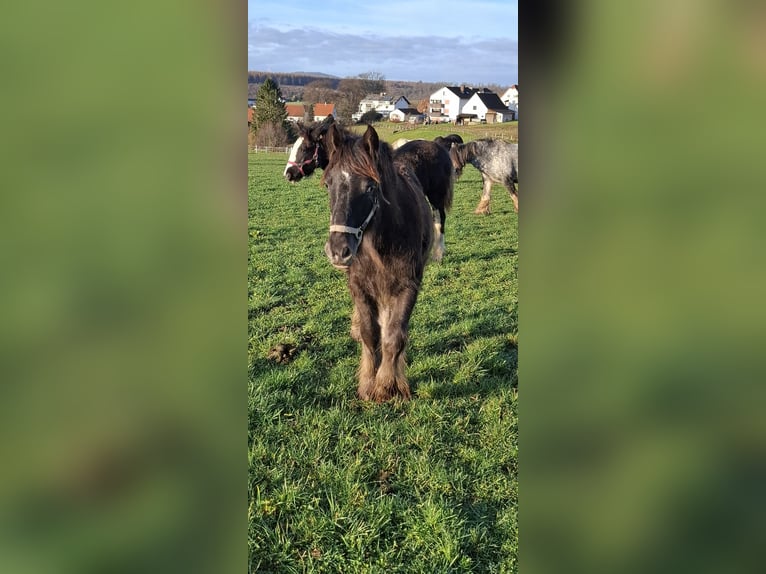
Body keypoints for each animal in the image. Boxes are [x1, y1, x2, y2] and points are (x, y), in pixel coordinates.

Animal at [283, 116, 454, 261]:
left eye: (305, 148)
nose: (288, 173)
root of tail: (438, 146)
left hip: (437, 197)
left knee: (440, 218)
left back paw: (438, 254)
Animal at [321, 123, 434, 402]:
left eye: (370, 187)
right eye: (328, 184)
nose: (338, 251)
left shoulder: (408, 287)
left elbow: (394, 335)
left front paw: (386, 385)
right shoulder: (359, 287)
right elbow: (370, 334)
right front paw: (367, 383)